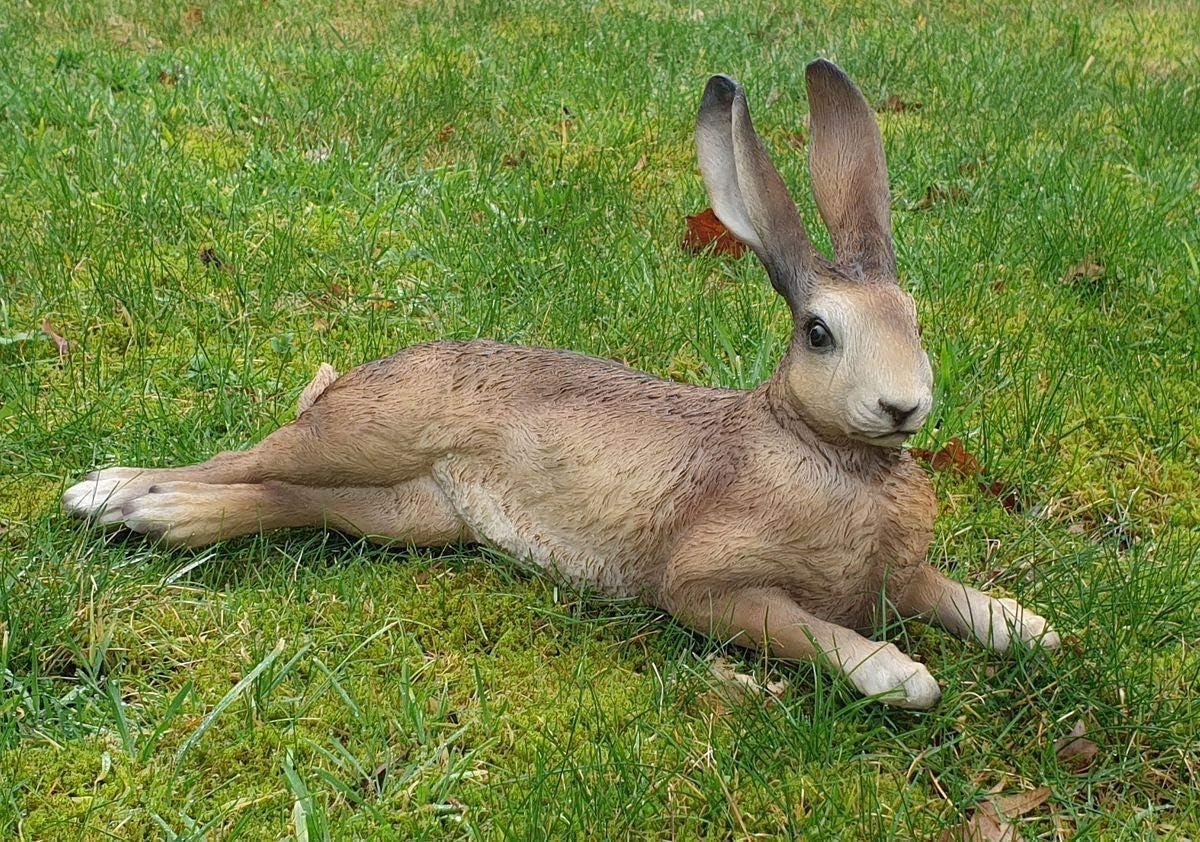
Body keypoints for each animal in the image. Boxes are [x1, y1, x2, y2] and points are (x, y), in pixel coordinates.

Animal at [62, 59, 1059, 709]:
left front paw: (1030, 629)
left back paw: (161, 517)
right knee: (246, 457)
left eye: (917, 320)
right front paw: (901, 674)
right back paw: (115, 496)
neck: (821, 450)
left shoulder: (903, 575)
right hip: (367, 432)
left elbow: (949, 594)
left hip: (409, 512)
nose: (904, 407)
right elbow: (805, 630)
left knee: (291, 500)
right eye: (820, 333)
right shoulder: (707, 584)